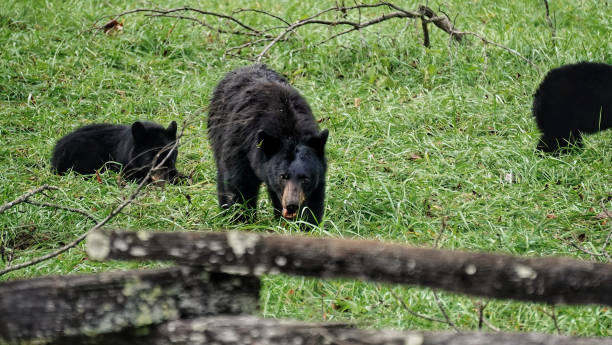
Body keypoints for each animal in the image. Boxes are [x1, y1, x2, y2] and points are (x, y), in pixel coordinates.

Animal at [207, 64, 330, 224]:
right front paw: (242, 219)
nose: (291, 205)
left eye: (305, 178)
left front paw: (307, 223)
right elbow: (240, 185)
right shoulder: (241, 147)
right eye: (283, 176)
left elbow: (314, 198)